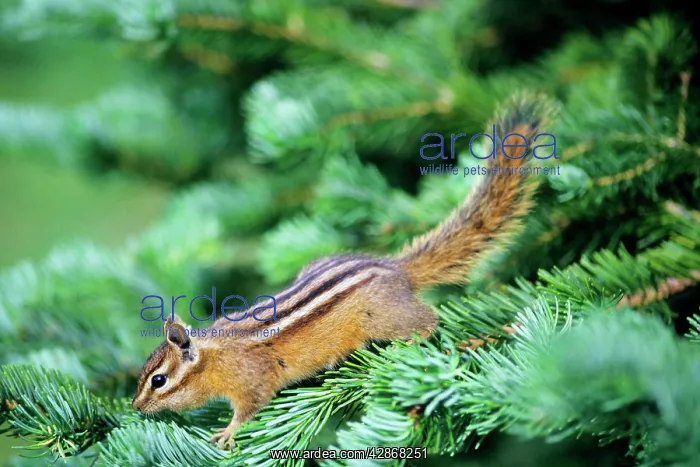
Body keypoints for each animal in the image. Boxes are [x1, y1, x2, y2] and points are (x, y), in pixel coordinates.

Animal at [131, 93, 555, 450]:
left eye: (158, 380)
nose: (135, 406)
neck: (213, 357)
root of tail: (394, 268)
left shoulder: (252, 377)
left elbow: (250, 405)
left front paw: (228, 431)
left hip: (382, 317)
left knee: (429, 320)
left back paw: (410, 345)